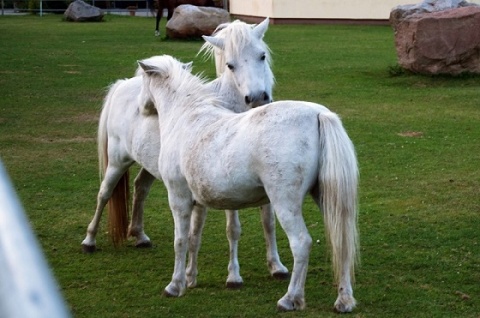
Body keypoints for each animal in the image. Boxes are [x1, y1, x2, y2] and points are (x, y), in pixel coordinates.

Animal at [81, 18, 288, 288]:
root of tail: (123, 84)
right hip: (117, 161)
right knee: (104, 194)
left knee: (140, 188)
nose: (256, 98)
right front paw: (233, 275)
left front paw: (276, 266)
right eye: (230, 65)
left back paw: (139, 235)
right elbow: (232, 229)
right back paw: (89, 240)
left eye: (262, 56)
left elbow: (269, 222)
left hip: (151, 167)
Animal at [137, 55, 358, 314]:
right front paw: (190, 278)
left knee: (301, 243)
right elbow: (193, 238)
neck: (187, 118)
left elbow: (180, 240)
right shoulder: (198, 203)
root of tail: (318, 114)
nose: (140, 108)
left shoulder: (178, 197)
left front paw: (175, 285)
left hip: (284, 203)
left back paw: (290, 298)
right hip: (325, 199)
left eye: (141, 79)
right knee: (342, 242)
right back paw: (344, 300)